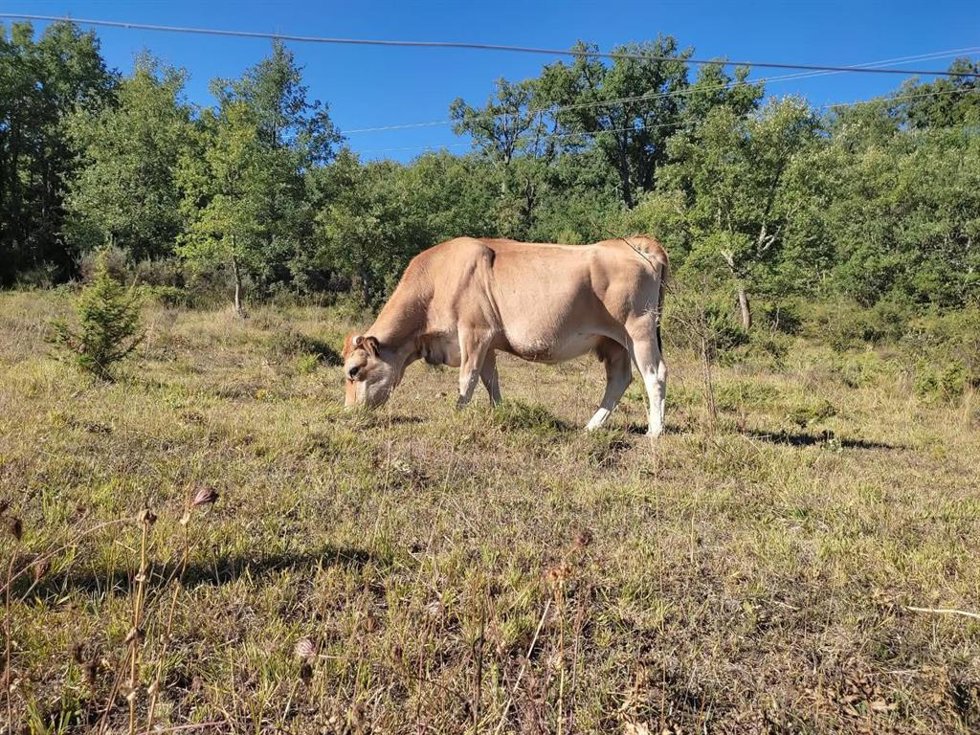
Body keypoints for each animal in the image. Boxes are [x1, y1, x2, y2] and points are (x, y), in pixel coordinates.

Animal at [342, 236, 669, 436]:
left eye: (353, 370)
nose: (348, 413)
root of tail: (633, 243)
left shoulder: (474, 333)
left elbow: (467, 378)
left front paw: (457, 414)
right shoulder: (488, 342)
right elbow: (491, 380)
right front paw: (498, 413)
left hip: (638, 330)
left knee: (655, 374)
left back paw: (655, 431)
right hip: (613, 343)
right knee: (619, 379)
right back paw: (591, 426)